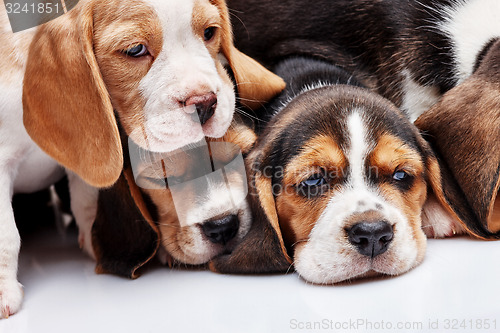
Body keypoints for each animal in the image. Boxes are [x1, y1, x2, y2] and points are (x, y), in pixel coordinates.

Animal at [0, 0, 284, 318]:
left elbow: (86, 200)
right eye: (135, 50)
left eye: (210, 32)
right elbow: (6, 232)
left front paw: (97, 243)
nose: (205, 103)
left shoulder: (85, 158)